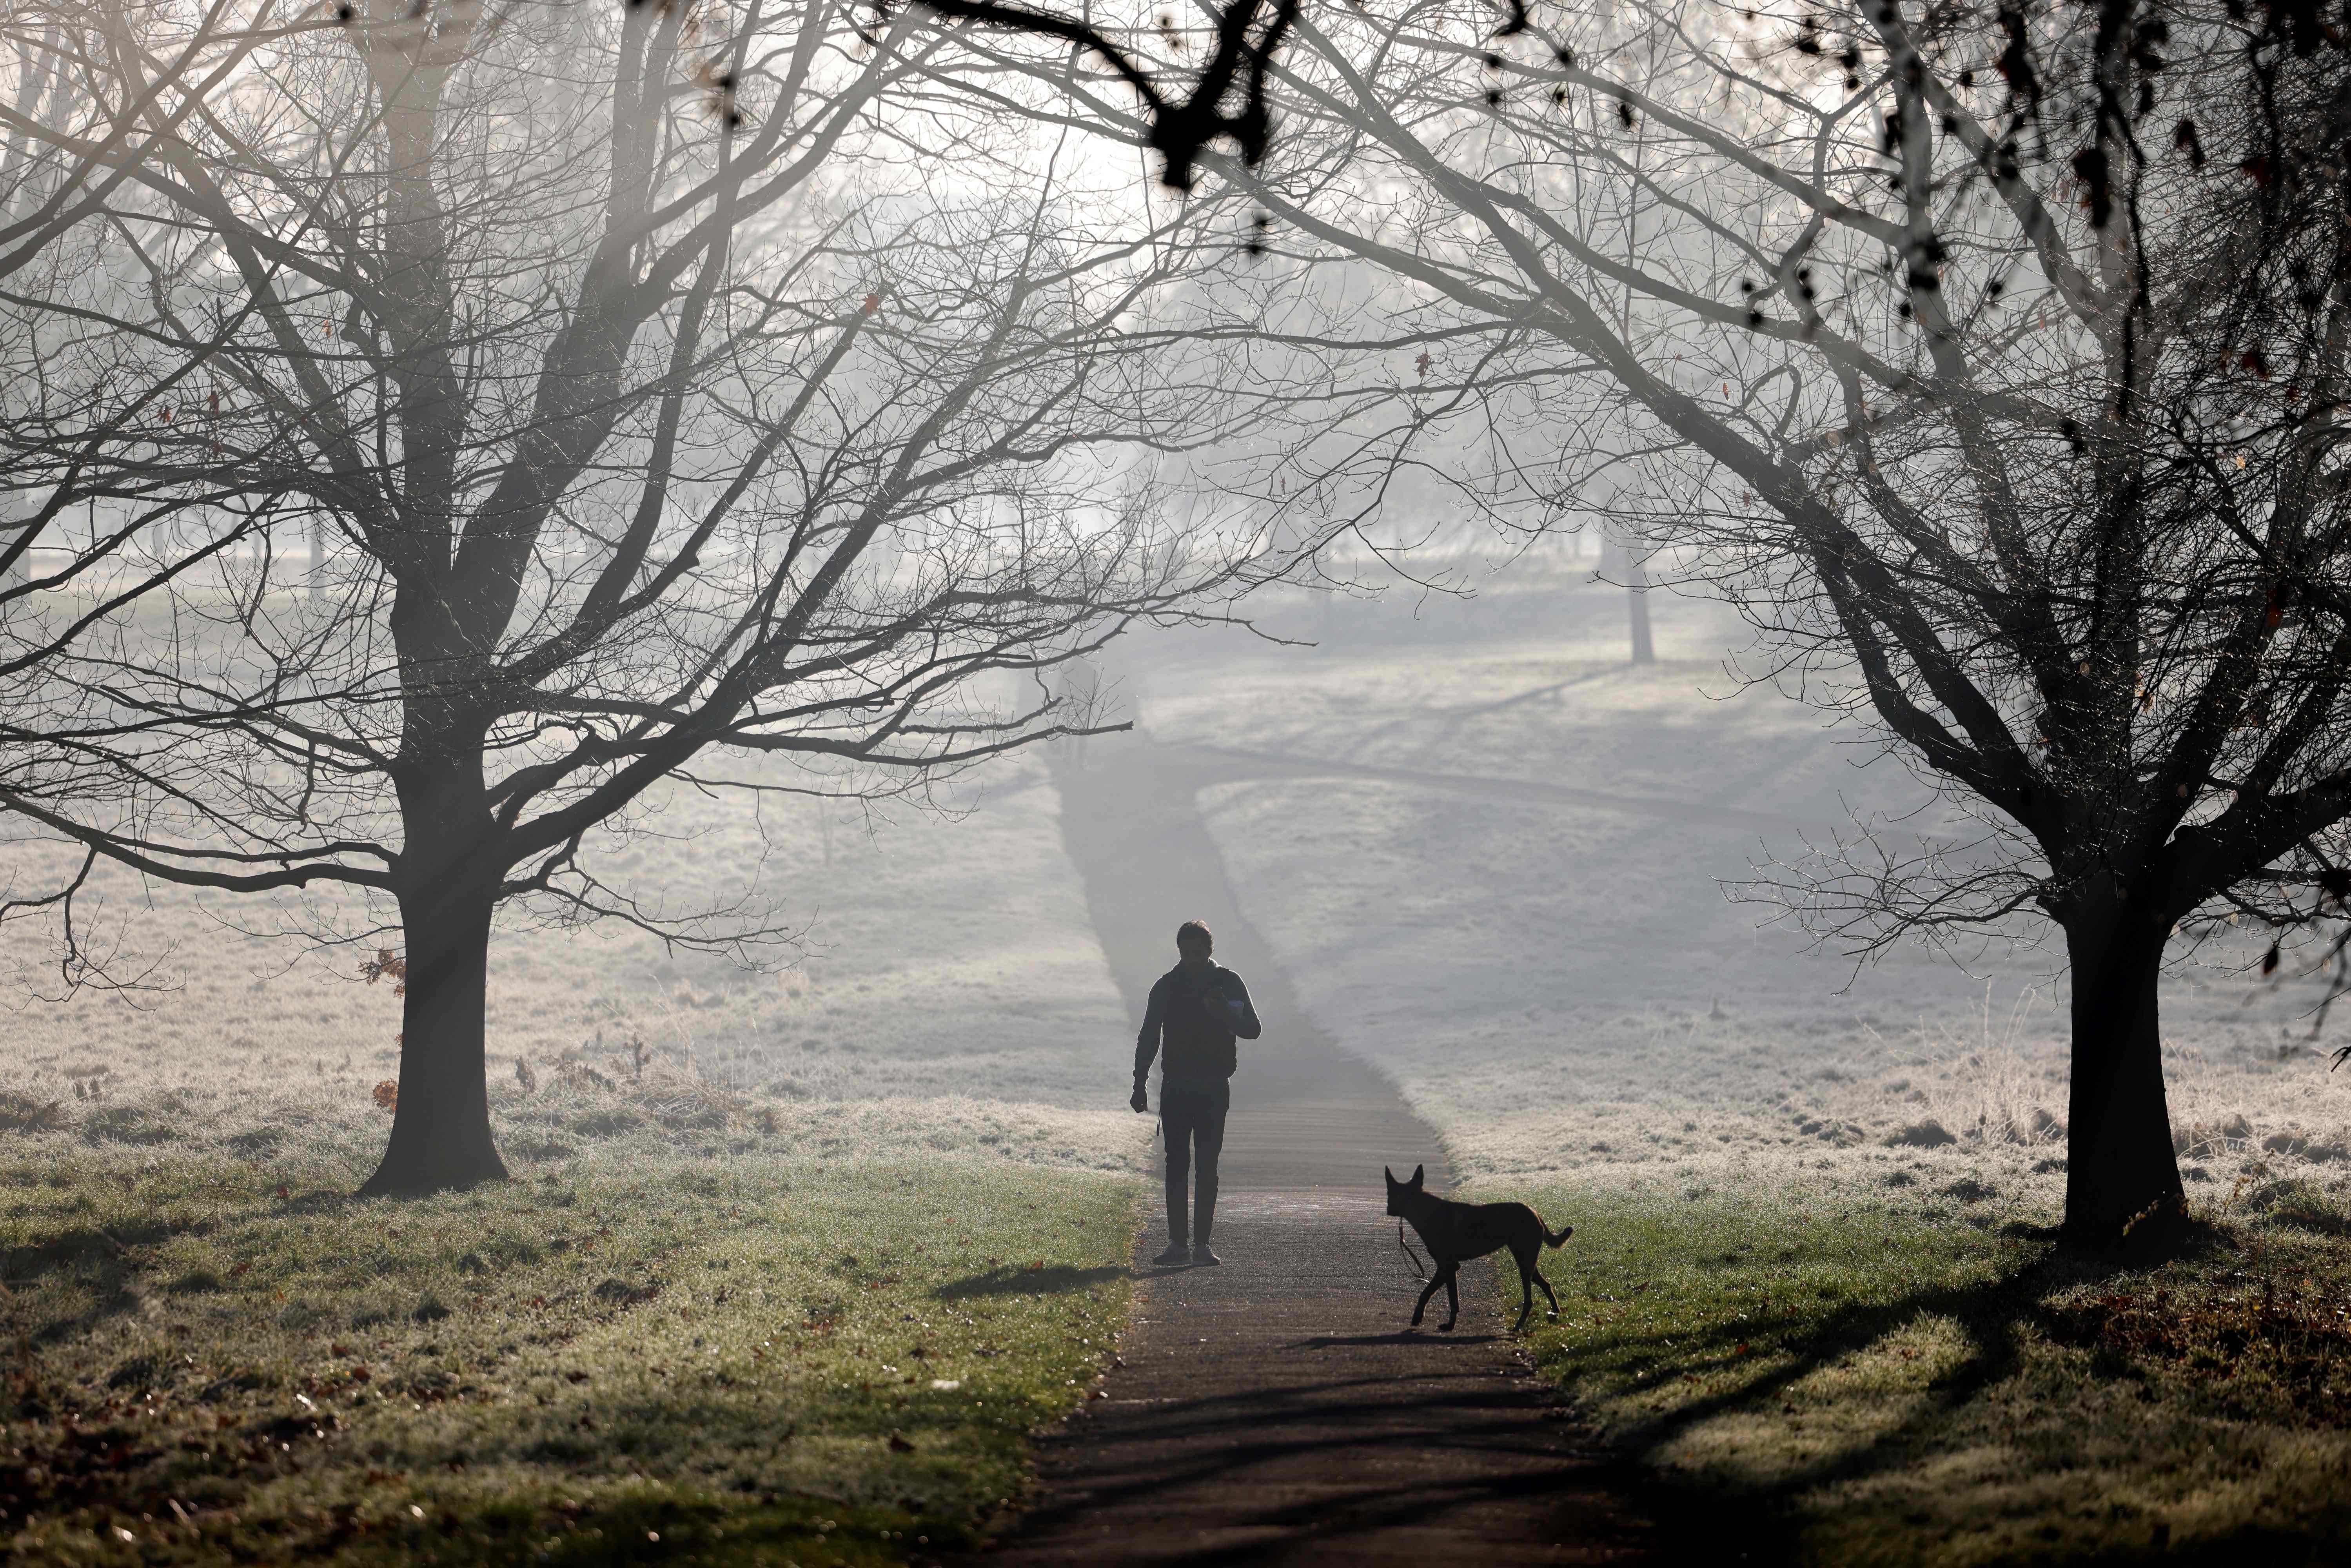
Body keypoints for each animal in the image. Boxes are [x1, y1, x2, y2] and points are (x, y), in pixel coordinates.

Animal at [1382, 1166, 1570, 1335]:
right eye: (1390, 1192)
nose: (1389, 1209)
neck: (1425, 1211)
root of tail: (1535, 1213)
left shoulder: (1447, 1266)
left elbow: (1428, 1293)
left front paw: (1418, 1317)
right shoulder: (1450, 1269)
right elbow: (1453, 1300)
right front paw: (1450, 1325)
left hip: (1524, 1263)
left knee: (1529, 1299)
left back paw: (1519, 1326)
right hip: (1528, 1262)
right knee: (1546, 1285)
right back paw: (1556, 1314)